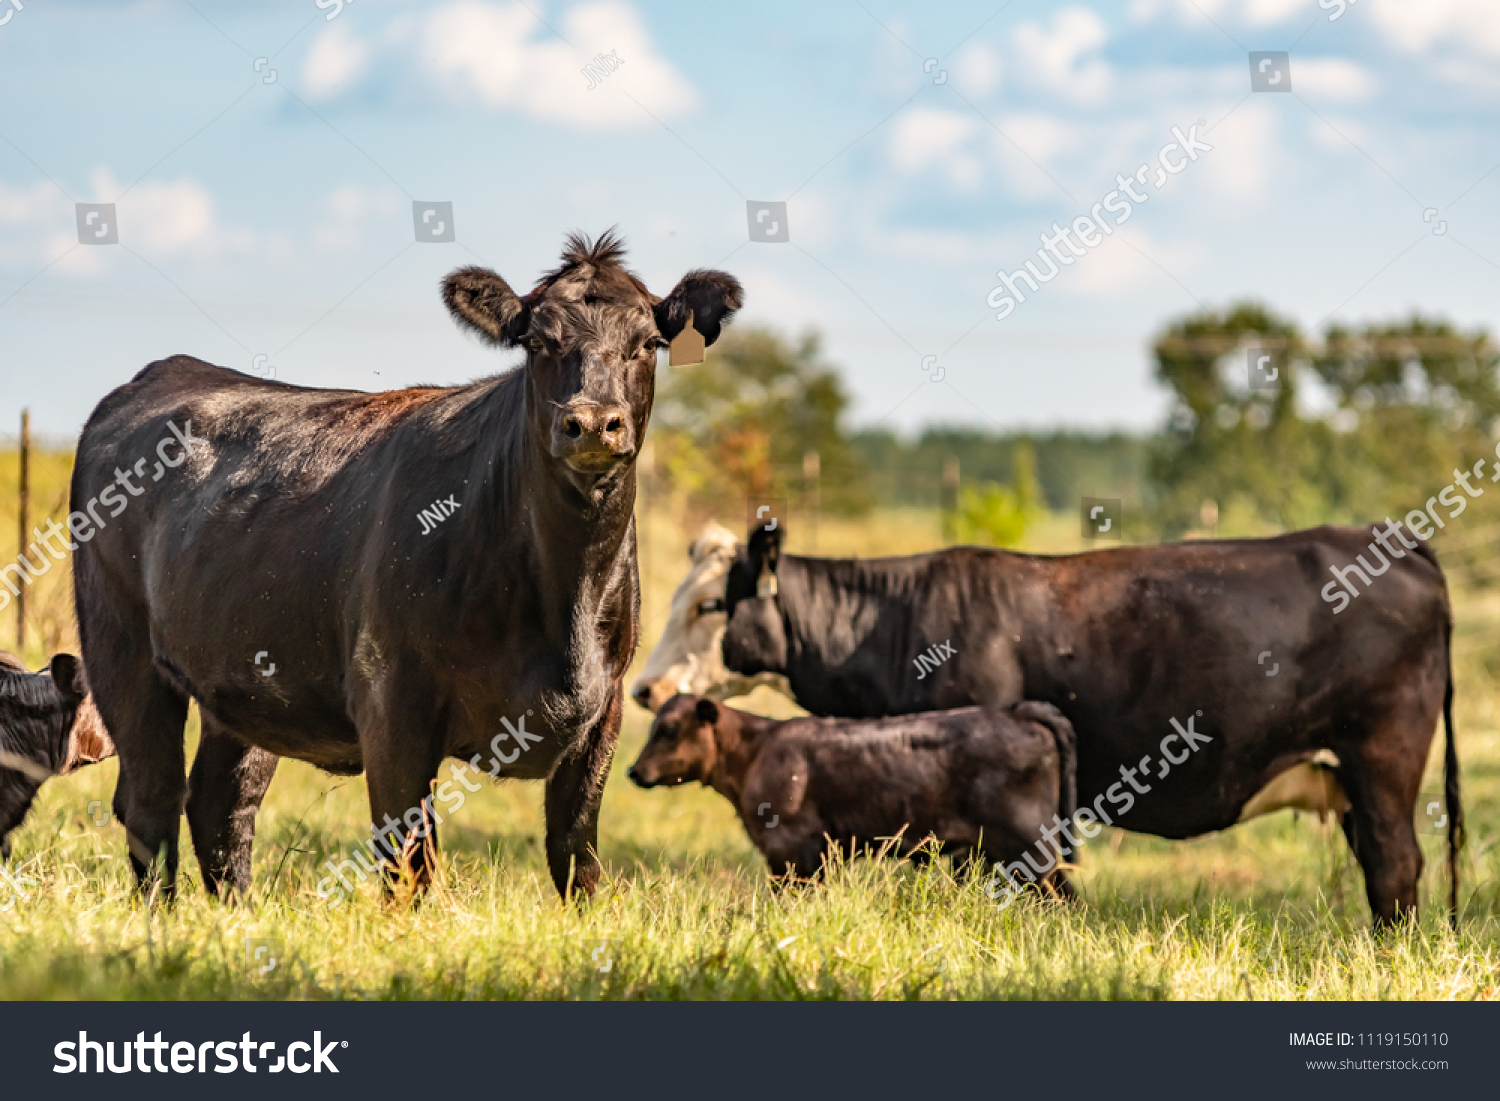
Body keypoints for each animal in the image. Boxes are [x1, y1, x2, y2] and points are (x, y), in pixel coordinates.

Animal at [73, 232, 741, 906]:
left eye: (648, 343)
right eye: (538, 342)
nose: (593, 422)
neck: (564, 599)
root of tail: (170, 371)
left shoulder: (604, 709)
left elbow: (577, 857)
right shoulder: (391, 699)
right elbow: (410, 861)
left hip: (245, 678)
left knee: (221, 802)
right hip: (122, 649)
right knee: (151, 798)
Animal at [726, 522, 1464, 930]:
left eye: (712, 604)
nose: (661, 685)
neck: (897, 617)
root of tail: (1390, 539)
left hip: (1384, 755)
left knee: (1395, 864)